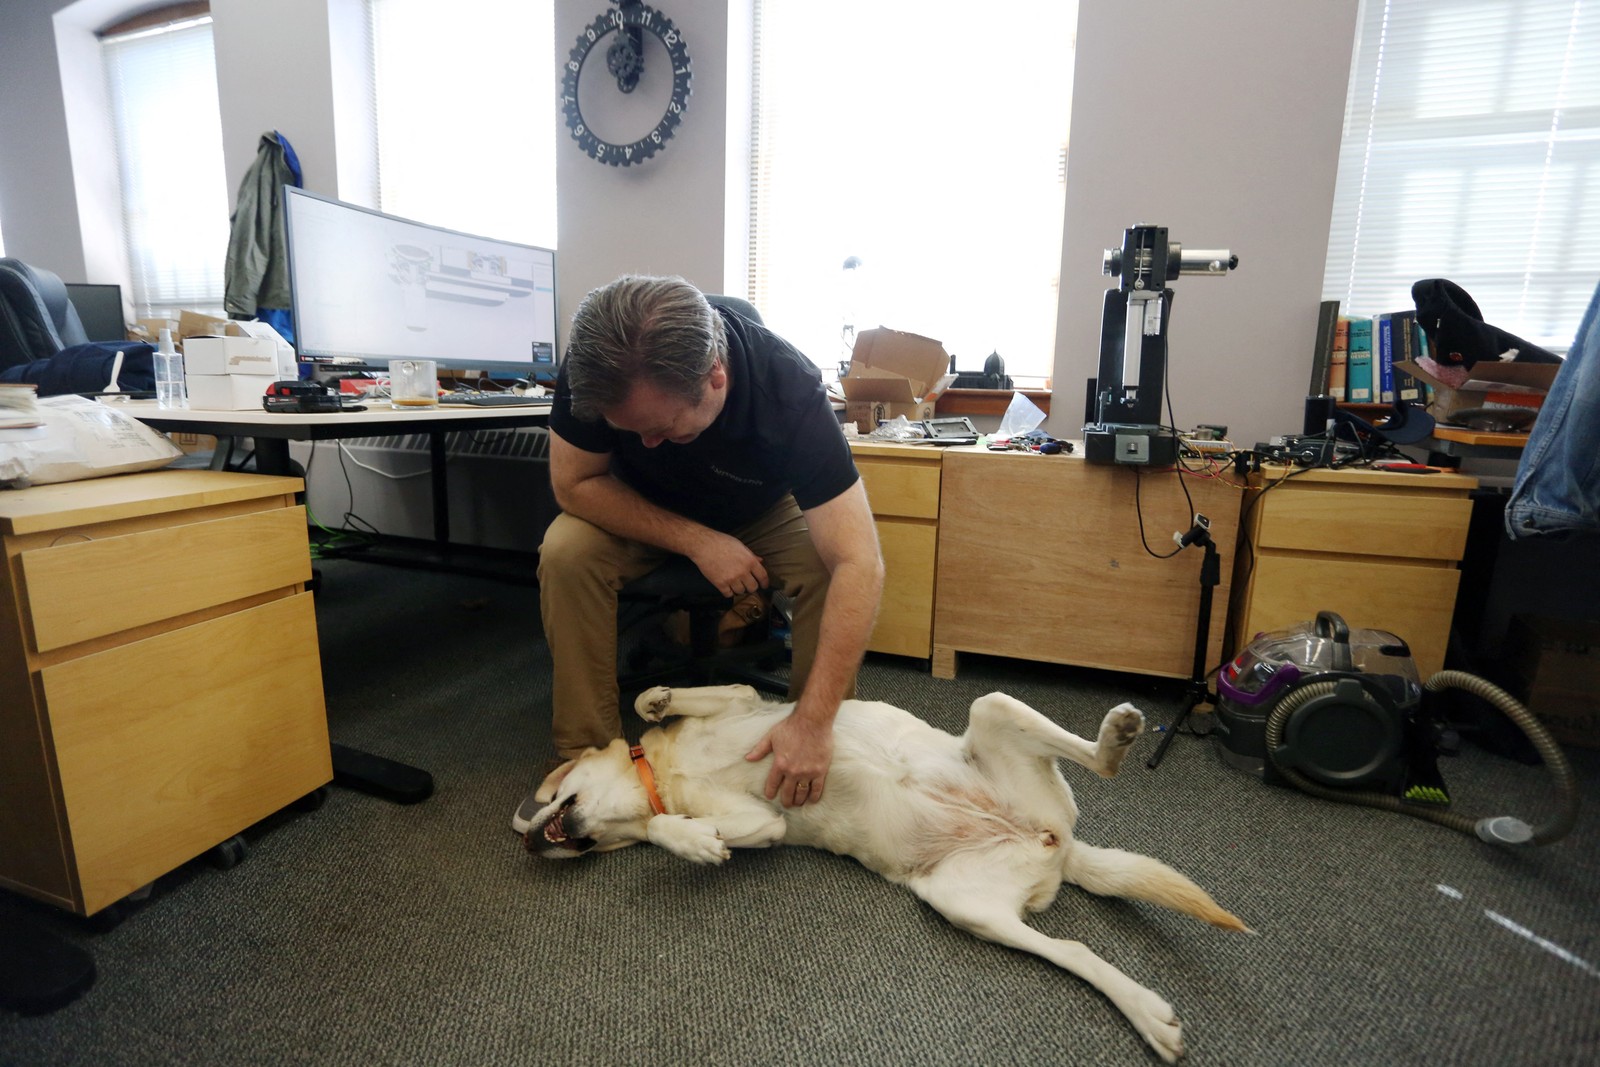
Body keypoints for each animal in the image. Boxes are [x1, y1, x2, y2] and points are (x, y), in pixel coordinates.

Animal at [524, 684, 1248, 1062]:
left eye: (552, 792)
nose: (531, 843)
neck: (662, 775)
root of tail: (1059, 843)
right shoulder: (766, 822)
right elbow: (682, 826)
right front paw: (694, 840)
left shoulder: (741, 705)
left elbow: (695, 695)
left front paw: (656, 700)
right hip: (964, 902)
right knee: (1073, 949)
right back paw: (1147, 1012)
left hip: (991, 708)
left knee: (1093, 762)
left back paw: (1117, 736)